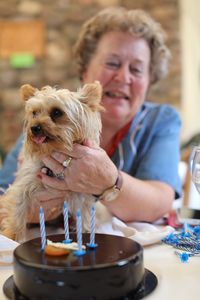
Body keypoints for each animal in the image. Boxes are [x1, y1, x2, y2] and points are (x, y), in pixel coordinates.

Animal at [0, 81, 110, 241]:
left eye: (57, 112)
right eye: (34, 113)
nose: (34, 128)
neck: (53, 150)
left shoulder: (82, 196)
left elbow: (85, 217)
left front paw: (86, 233)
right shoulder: (21, 188)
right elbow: (17, 212)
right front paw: (11, 236)